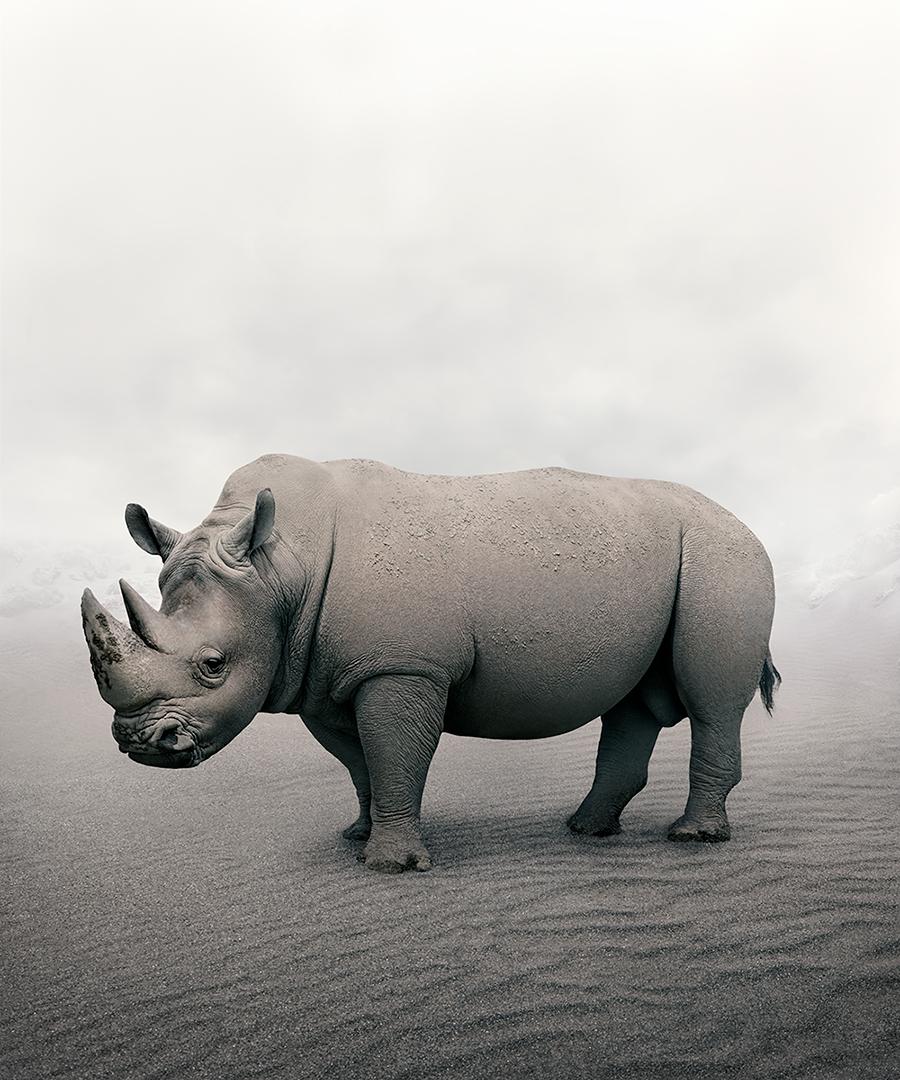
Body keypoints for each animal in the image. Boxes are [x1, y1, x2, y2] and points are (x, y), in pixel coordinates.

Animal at [81, 454, 780, 873]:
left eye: (213, 664)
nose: (140, 744)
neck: (280, 567)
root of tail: (744, 524)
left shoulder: (400, 666)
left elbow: (394, 754)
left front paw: (389, 867)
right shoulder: (326, 677)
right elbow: (361, 764)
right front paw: (358, 836)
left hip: (724, 558)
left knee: (710, 702)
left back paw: (691, 838)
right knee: (633, 703)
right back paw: (586, 831)